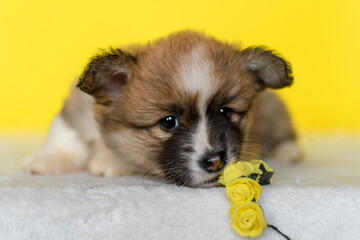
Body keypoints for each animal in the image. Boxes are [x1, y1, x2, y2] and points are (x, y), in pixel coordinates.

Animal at [24, 30, 300, 188]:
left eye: (225, 112)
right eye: (169, 122)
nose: (215, 162)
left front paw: (109, 160)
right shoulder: (77, 109)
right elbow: (65, 134)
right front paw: (52, 160)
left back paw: (288, 150)